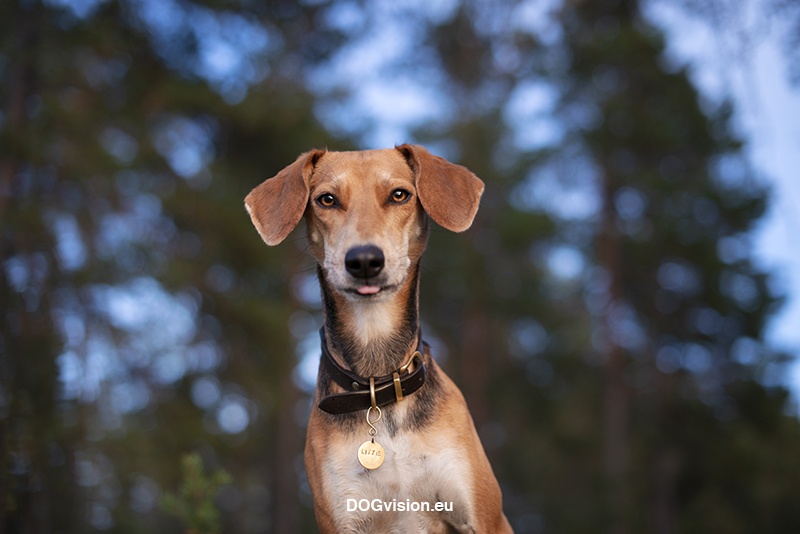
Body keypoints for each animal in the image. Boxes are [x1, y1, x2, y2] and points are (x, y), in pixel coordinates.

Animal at [244, 144, 512, 532]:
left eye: (399, 195)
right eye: (326, 200)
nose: (365, 260)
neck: (379, 383)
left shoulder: (484, 515)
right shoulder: (343, 516)